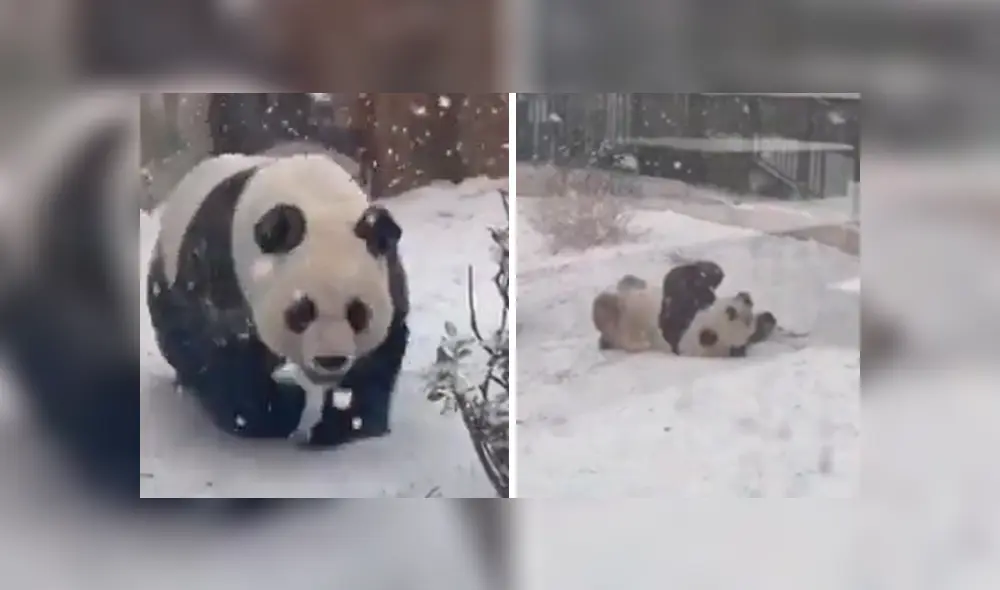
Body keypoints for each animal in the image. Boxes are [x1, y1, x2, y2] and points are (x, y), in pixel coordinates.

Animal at [147, 152, 409, 447]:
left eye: (358, 313)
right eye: (302, 311)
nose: (330, 359)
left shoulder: (387, 267)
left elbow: (384, 348)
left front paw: (344, 422)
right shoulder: (222, 266)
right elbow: (228, 351)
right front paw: (287, 410)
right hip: (165, 277)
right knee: (179, 338)